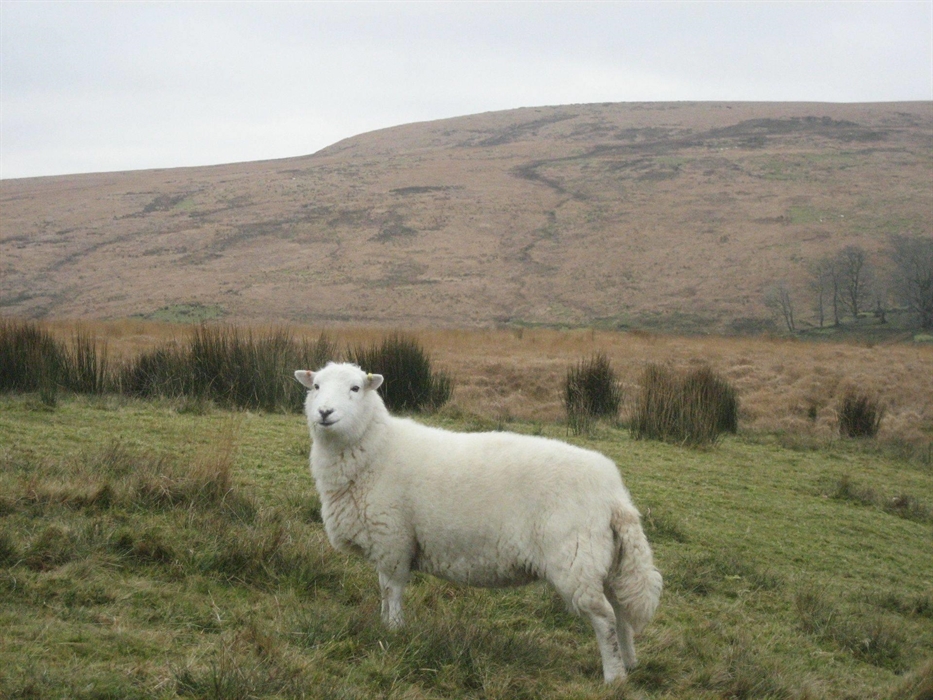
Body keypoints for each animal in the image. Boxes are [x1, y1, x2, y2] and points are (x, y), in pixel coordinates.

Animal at [294, 362, 662, 683]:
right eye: (316, 387)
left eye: (355, 388)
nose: (324, 413)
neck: (375, 449)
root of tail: (614, 494)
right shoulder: (387, 546)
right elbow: (383, 590)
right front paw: (385, 626)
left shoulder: (393, 540)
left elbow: (392, 590)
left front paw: (395, 631)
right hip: (608, 560)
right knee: (622, 611)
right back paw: (630, 662)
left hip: (575, 558)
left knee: (604, 618)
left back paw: (614, 676)